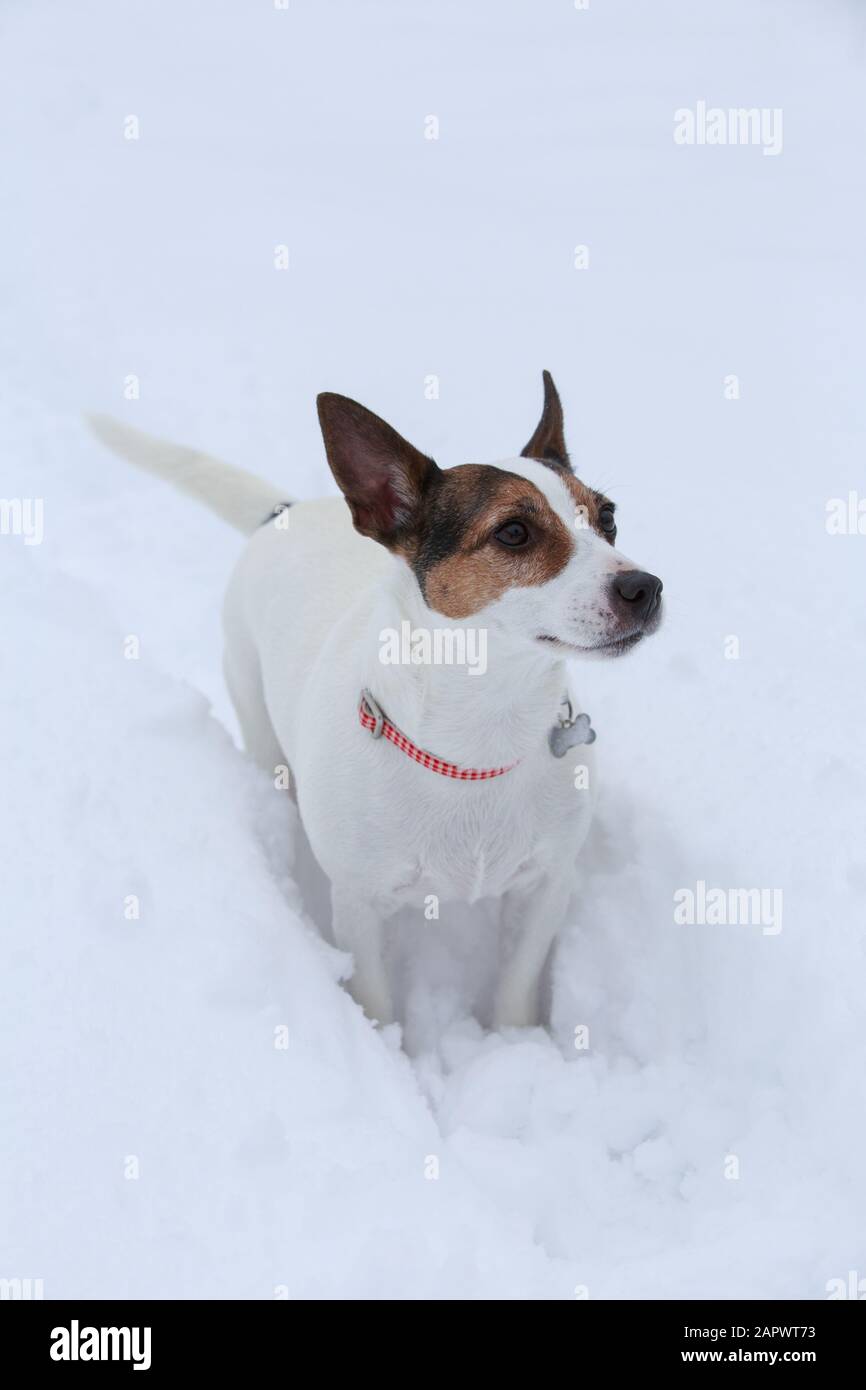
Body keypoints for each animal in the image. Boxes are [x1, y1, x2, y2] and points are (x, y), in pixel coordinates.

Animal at [91, 375, 664, 1028]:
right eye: (513, 532)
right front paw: (386, 1048)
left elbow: (516, 986)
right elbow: (375, 996)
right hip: (255, 712)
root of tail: (285, 512)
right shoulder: (359, 904)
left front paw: (516, 1041)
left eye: (608, 517)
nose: (646, 587)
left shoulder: (545, 886)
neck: (484, 732)